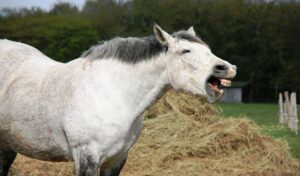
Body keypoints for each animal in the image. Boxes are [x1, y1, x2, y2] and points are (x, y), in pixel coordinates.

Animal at [0, 25, 236, 176]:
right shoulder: (87, 157)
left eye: (208, 50)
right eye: (185, 51)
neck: (113, 94)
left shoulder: (117, 159)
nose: (226, 68)